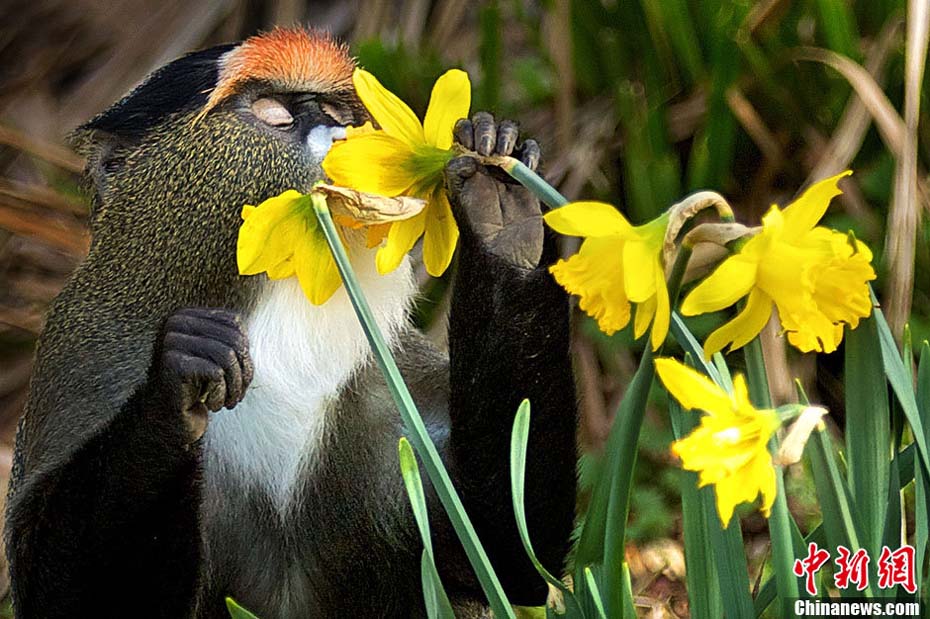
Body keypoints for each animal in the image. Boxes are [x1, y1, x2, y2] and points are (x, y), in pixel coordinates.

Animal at [5, 26, 572, 616]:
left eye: (336, 110)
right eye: (273, 113)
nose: (342, 136)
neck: (274, 317)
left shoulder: (392, 386)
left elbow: (500, 551)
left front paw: (499, 207)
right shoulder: (85, 359)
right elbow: (62, 592)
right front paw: (179, 375)